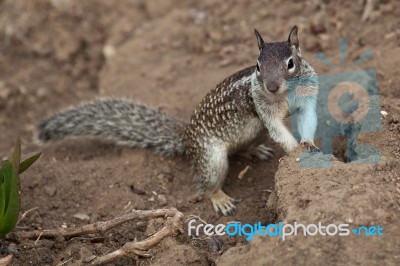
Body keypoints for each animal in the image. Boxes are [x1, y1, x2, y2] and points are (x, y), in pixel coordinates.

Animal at [37, 25, 318, 216]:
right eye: (258, 66)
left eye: (290, 63)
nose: (271, 86)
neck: (285, 94)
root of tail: (188, 137)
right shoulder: (263, 108)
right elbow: (278, 129)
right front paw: (296, 151)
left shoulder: (307, 96)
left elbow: (307, 118)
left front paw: (310, 144)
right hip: (212, 159)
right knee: (205, 184)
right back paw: (220, 199)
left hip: (250, 133)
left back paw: (255, 150)